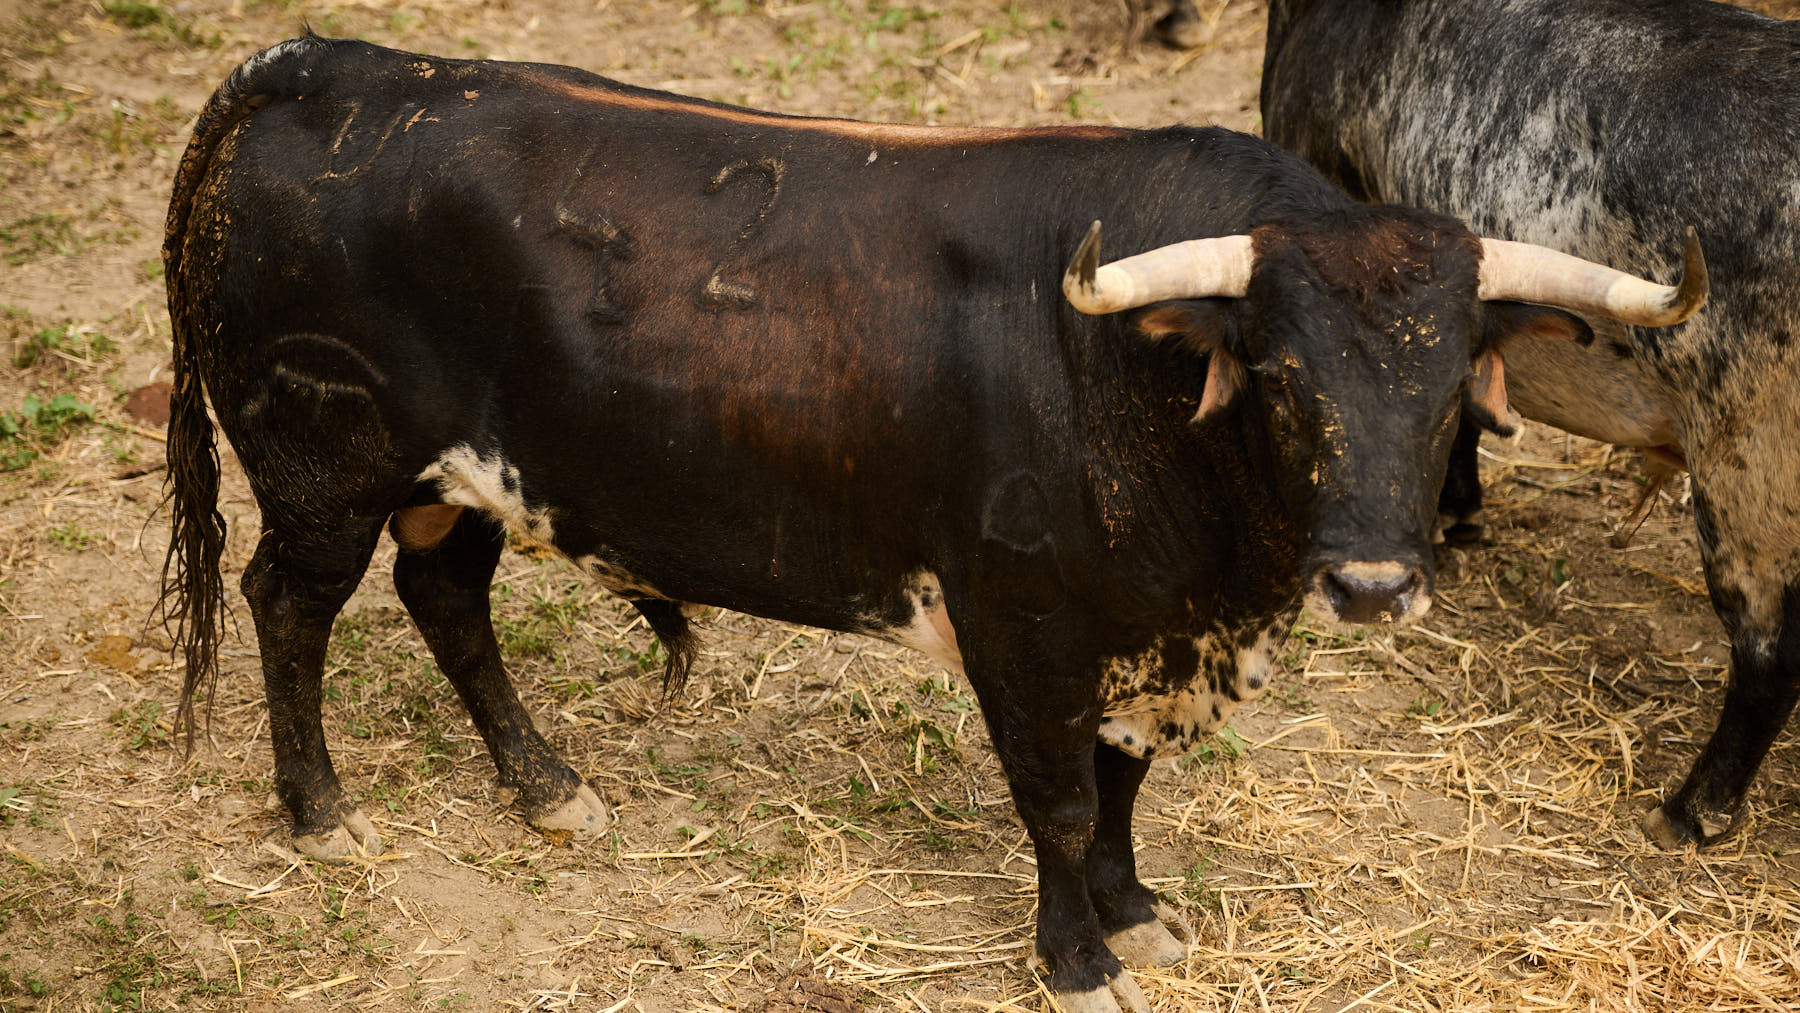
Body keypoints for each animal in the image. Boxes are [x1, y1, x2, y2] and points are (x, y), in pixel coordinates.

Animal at [162, 35, 1692, 1007]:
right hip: (322, 469)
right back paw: (321, 810)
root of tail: (317, 65)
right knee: (289, 605)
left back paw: (546, 787)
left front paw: (1137, 918)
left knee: (447, 599)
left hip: (463, 477)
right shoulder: (1026, 623)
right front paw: (1076, 962)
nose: (1374, 583)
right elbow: (1060, 800)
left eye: (1449, 394)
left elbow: (1121, 788)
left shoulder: (1134, 628)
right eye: (1278, 374)